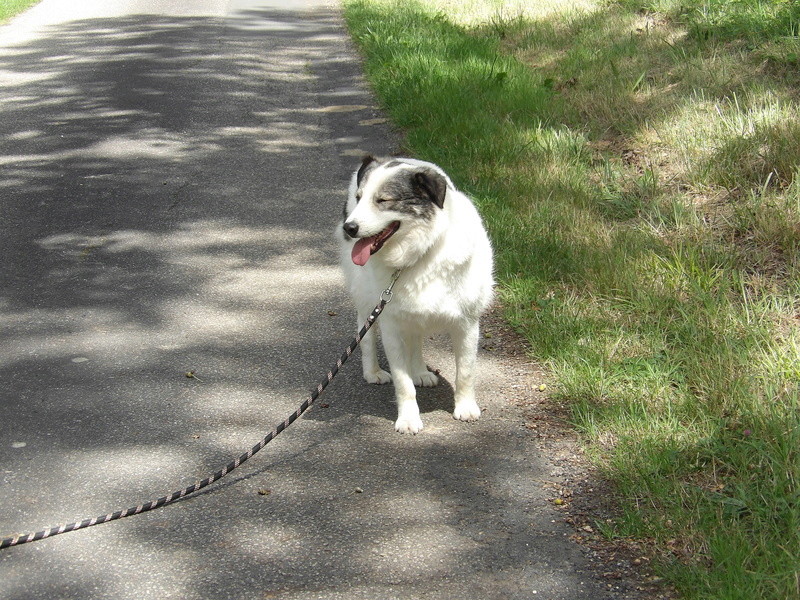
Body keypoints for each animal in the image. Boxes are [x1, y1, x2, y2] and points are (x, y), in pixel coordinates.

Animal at [338, 157, 494, 434]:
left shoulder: (467, 323)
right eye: (359, 198)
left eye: (382, 200)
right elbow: (403, 384)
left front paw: (465, 407)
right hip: (367, 297)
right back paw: (373, 371)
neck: (421, 254)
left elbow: (465, 371)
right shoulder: (390, 325)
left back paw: (420, 370)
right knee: (365, 333)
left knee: (415, 339)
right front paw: (408, 419)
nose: (350, 227)